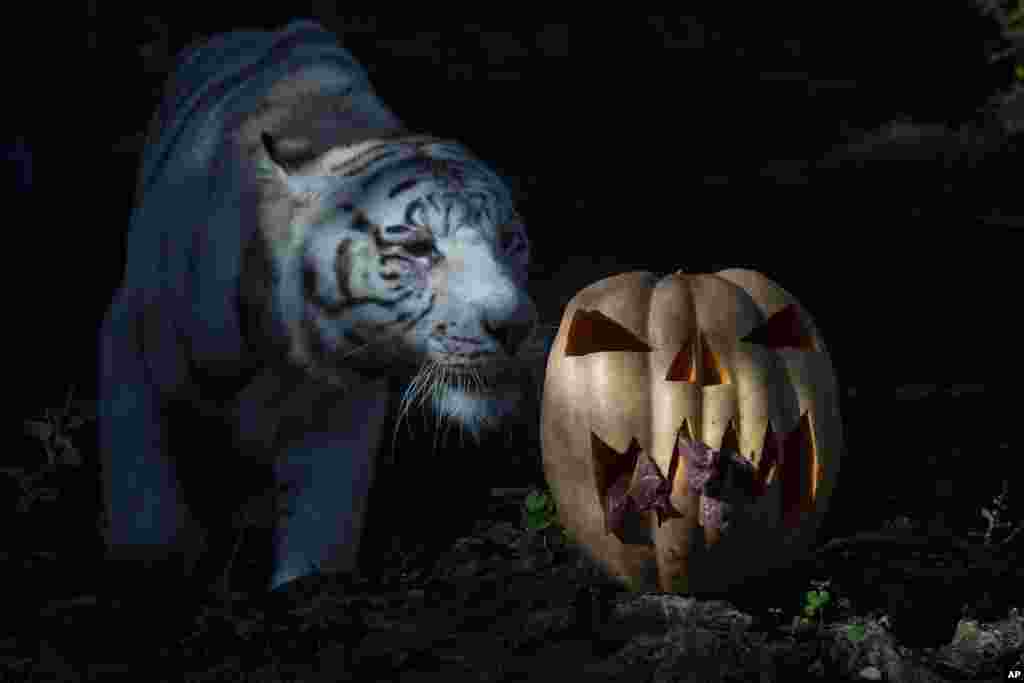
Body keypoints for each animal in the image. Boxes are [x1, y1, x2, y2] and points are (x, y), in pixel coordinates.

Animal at [99, 20, 540, 593]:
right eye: (420, 248)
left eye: (510, 241)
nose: (516, 326)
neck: (286, 352)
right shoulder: (128, 334)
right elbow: (141, 485)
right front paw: (156, 568)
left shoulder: (340, 416)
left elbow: (320, 532)